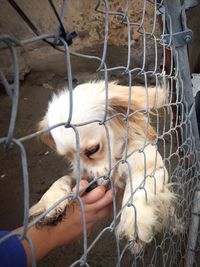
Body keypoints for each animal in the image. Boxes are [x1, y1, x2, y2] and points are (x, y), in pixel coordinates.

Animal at [28, 81, 174, 249]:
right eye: (68, 156)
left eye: (93, 149)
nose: (90, 187)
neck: (116, 159)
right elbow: (64, 179)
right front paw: (49, 202)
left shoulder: (152, 166)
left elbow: (139, 185)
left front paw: (133, 218)